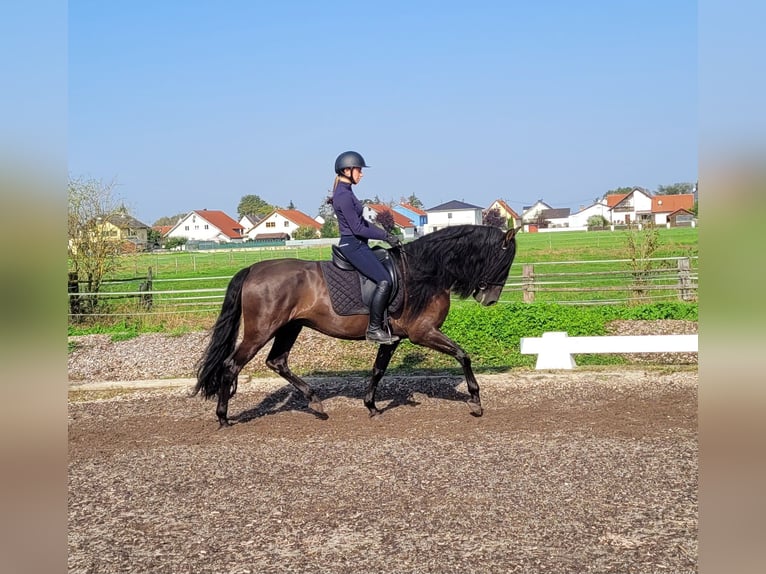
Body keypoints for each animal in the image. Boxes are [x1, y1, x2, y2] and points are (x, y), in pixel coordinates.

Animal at [195, 225, 524, 428]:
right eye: (505, 260)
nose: (490, 299)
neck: (424, 272)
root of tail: (253, 268)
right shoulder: (422, 333)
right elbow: (463, 355)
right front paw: (476, 402)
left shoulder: (393, 338)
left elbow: (378, 370)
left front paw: (372, 407)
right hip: (261, 330)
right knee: (231, 365)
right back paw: (223, 417)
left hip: (290, 327)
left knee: (277, 361)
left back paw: (316, 403)